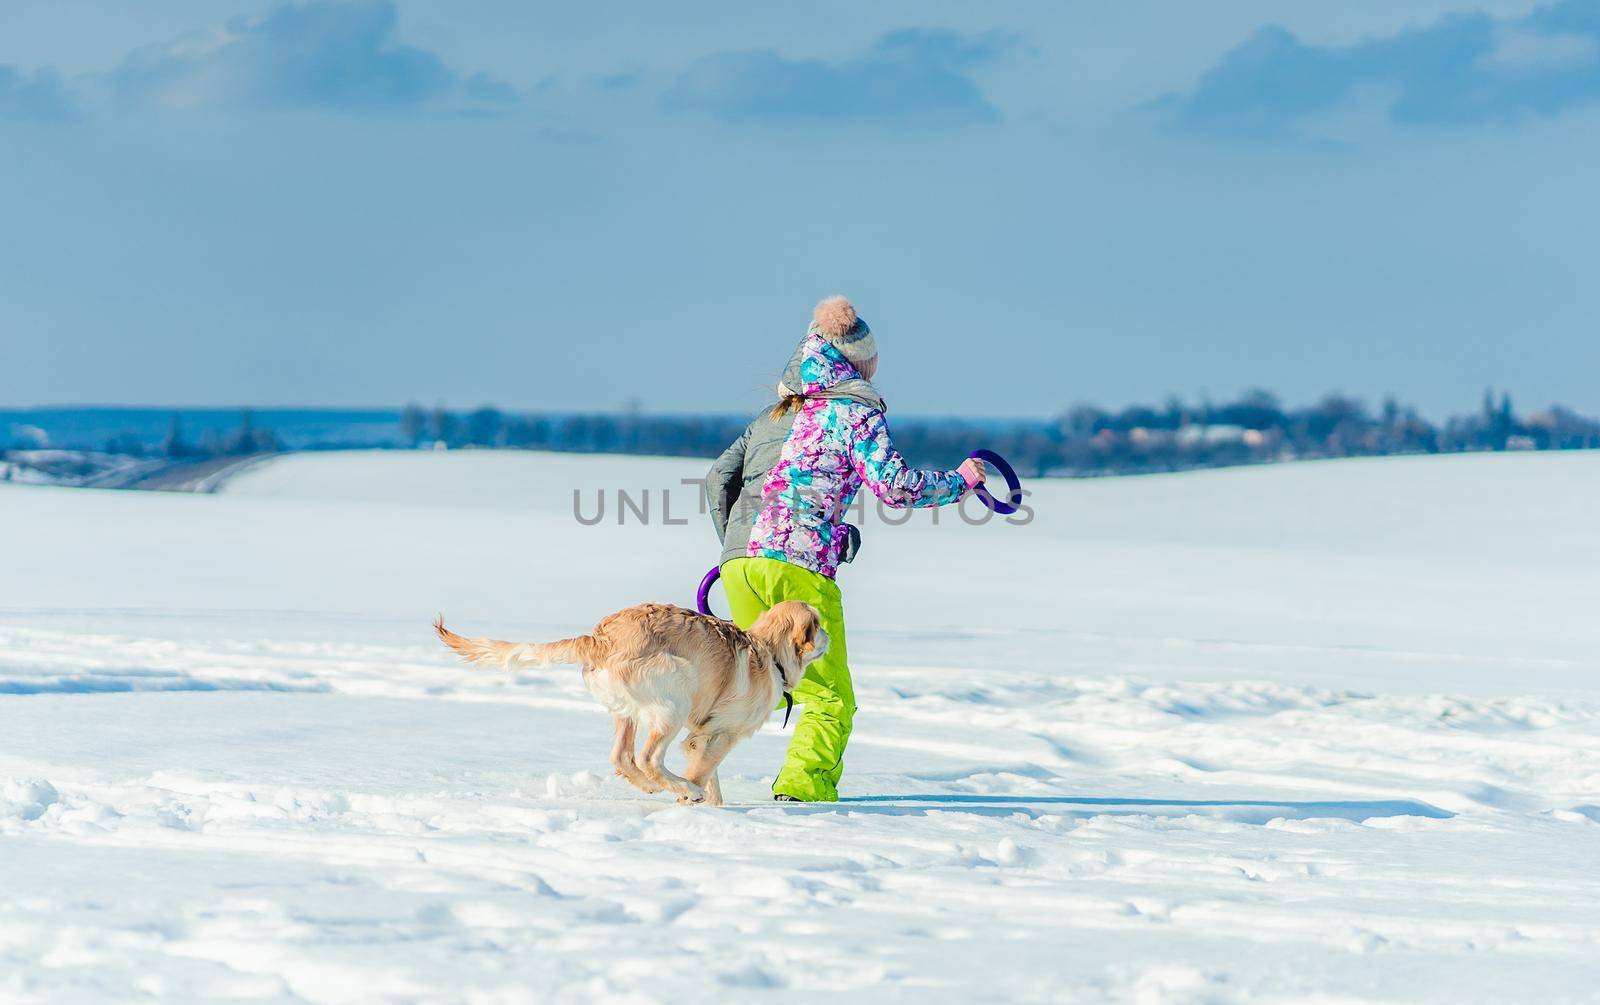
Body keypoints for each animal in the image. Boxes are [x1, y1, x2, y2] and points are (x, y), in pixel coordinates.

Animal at [432, 601, 832, 803]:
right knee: (648, 757)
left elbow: (709, 771)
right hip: (676, 691)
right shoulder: (720, 733)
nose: (830, 635)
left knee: (621, 757)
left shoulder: (703, 735)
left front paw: (711, 803)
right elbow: (705, 769)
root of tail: (598, 638)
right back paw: (680, 788)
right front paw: (694, 797)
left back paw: (651, 787)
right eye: (819, 623)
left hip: (628, 710)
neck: (769, 652)